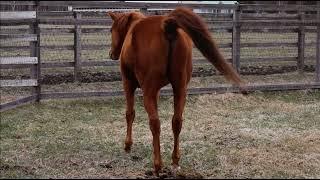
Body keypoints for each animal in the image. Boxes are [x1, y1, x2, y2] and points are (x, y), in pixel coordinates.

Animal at [109, 7, 246, 176]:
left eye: (111, 30)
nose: (112, 54)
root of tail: (167, 26)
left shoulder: (128, 84)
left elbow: (130, 114)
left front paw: (127, 145)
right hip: (180, 89)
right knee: (177, 121)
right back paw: (175, 161)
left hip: (149, 92)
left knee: (155, 123)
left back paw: (157, 164)